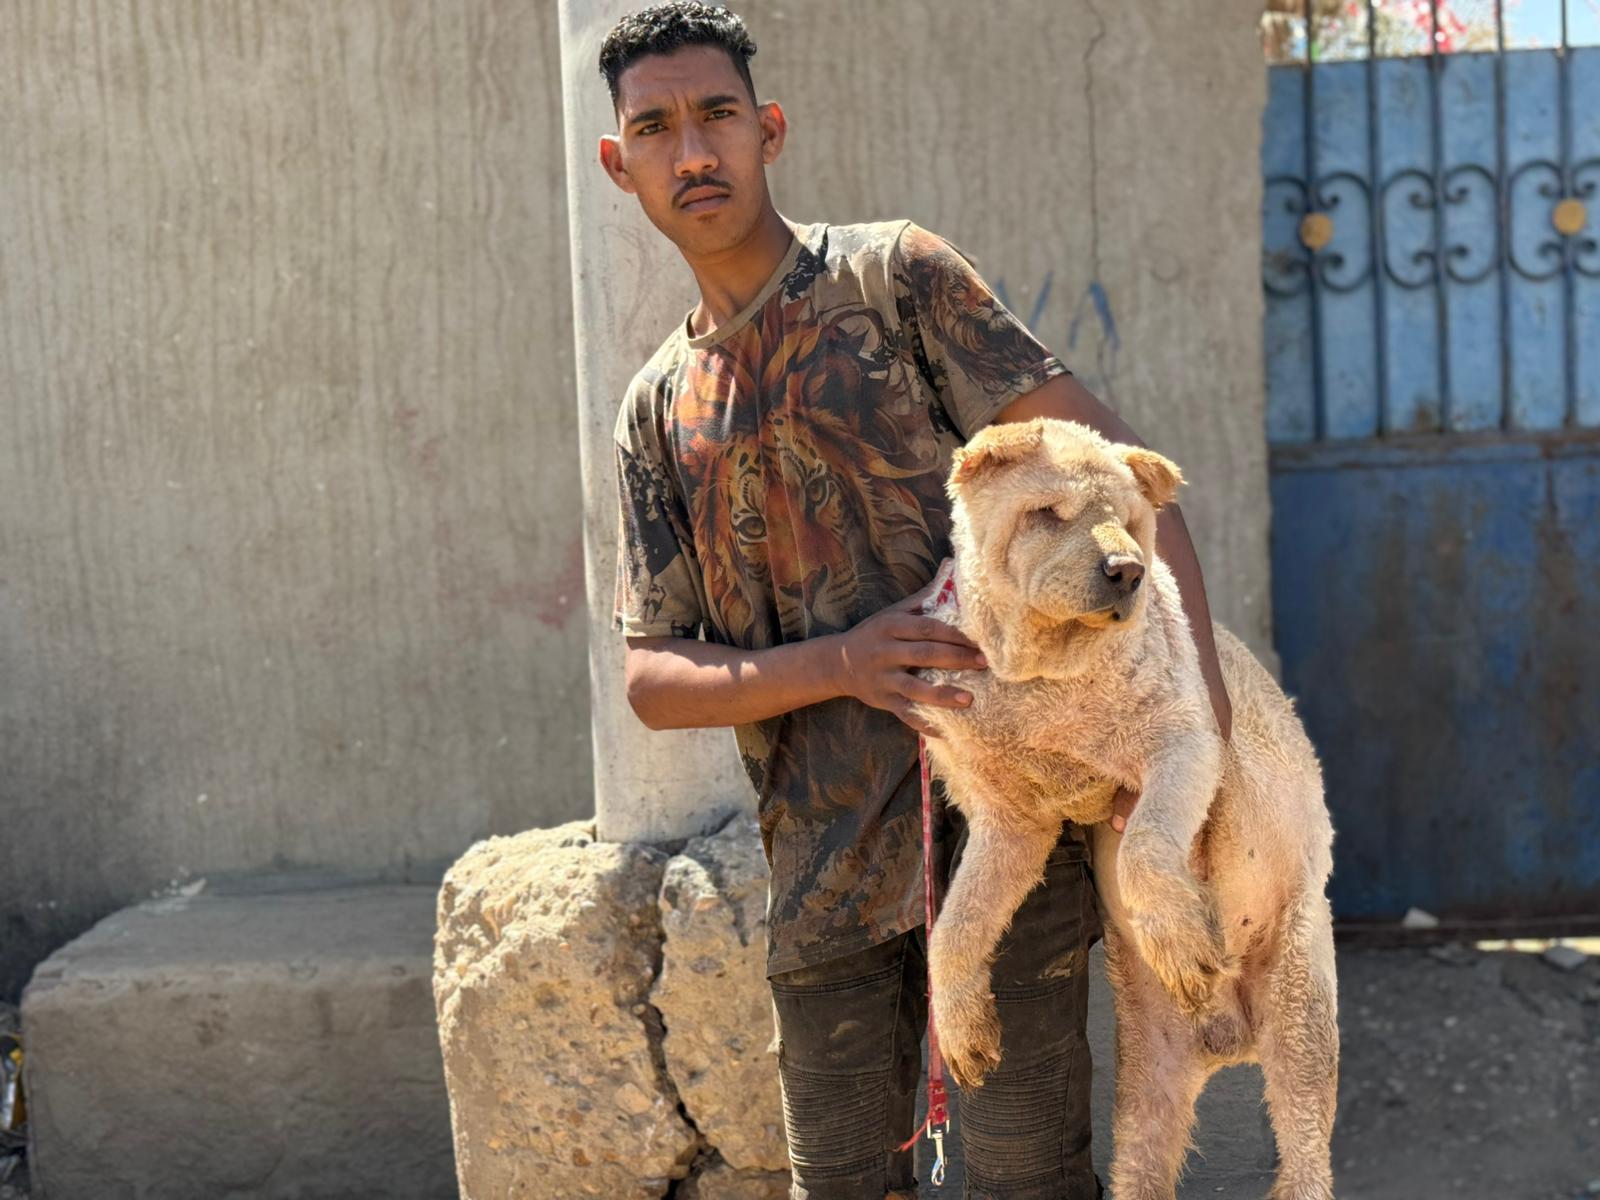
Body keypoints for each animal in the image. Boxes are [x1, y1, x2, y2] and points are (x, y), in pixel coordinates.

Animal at [911, 417, 1337, 1200]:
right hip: (1145, 1071)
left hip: (1299, 995)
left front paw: (1184, 946)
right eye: (1047, 512)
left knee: (1305, 1144)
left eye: (1134, 522)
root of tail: (1226, 1039)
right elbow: (955, 924)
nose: (1127, 572)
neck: (1039, 676)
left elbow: (1145, 843)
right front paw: (965, 1036)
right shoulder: (1010, 818)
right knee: (1145, 1155)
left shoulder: (1184, 737)